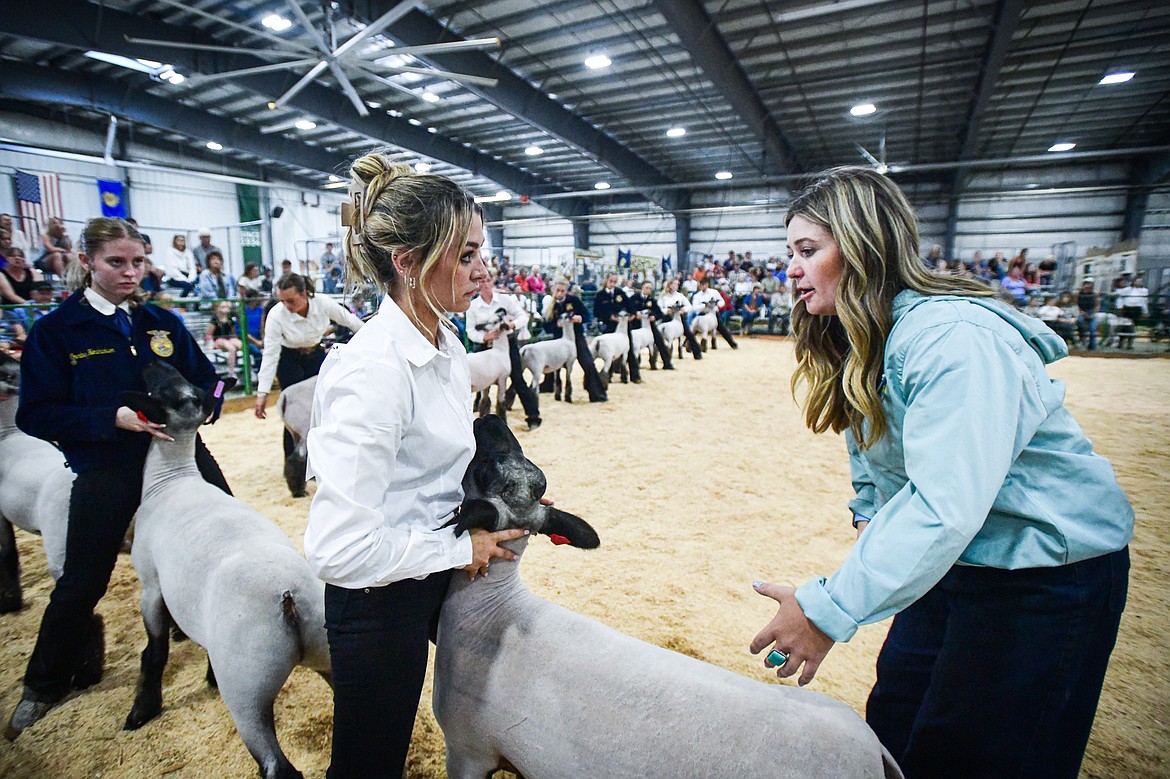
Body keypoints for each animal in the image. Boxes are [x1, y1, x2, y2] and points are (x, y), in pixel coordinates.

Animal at [120, 362, 329, 776]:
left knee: (276, 765)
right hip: (330, 655)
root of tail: (291, 598)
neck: (172, 479)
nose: (151, 363)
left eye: (165, 390)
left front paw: (143, 709)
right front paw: (206, 675)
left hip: (247, 688)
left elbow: (154, 650)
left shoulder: (150, 584)